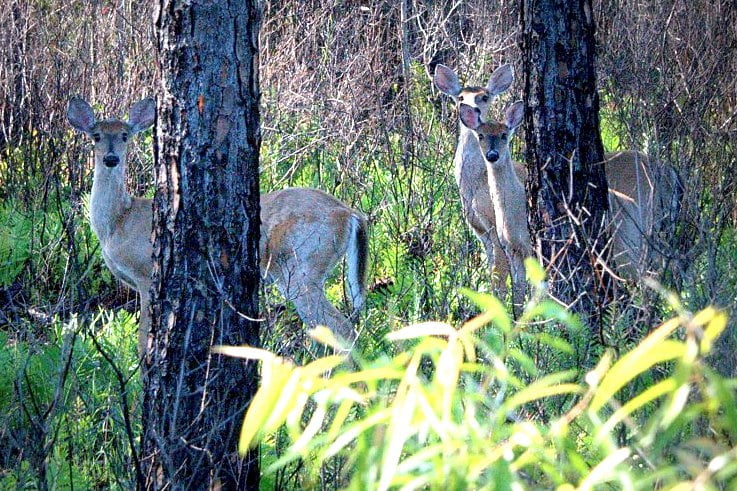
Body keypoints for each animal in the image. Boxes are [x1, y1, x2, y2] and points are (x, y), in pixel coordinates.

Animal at [67, 97, 368, 358]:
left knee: (342, 330)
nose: (111, 159)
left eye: (125, 135)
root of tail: (351, 214)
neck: (118, 222)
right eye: (96, 135)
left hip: (301, 265)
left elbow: (143, 341)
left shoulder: (145, 274)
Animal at [432, 65, 516, 296]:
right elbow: (491, 269)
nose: (472, 108)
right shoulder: (479, 229)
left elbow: (499, 273)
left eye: (484, 97)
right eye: (461, 97)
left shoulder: (495, 224)